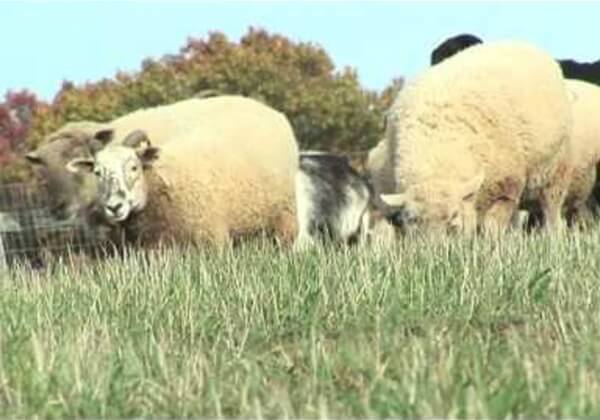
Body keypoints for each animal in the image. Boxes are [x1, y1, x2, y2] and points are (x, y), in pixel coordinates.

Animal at [372, 40, 576, 235]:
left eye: (452, 219)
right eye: (413, 222)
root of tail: (522, 43)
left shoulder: (506, 189)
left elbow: (493, 227)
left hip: (556, 172)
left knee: (551, 211)